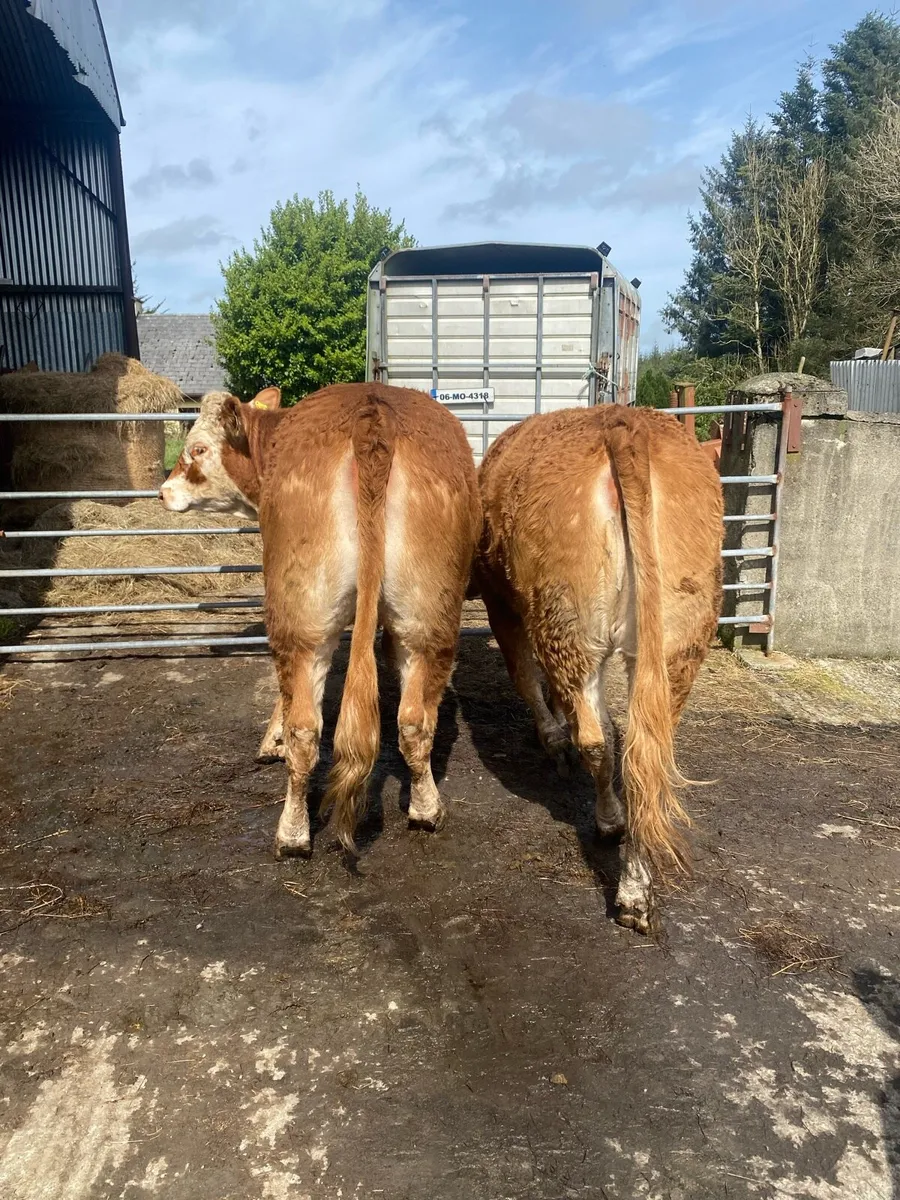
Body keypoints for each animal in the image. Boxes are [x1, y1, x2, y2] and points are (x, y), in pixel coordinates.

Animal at [160, 382, 480, 859]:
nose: (162, 491)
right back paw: (425, 810)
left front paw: (270, 740)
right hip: (424, 614)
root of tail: (372, 412)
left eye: (197, 448)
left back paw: (292, 833)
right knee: (410, 720)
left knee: (304, 726)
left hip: (300, 618)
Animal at [475, 405, 723, 934]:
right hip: (677, 639)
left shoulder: (500, 601)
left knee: (599, 741)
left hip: (566, 619)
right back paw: (636, 888)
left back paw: (611, 831)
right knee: (644, 755)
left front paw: (552, 736)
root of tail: (625, 425)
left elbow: (525, 677)